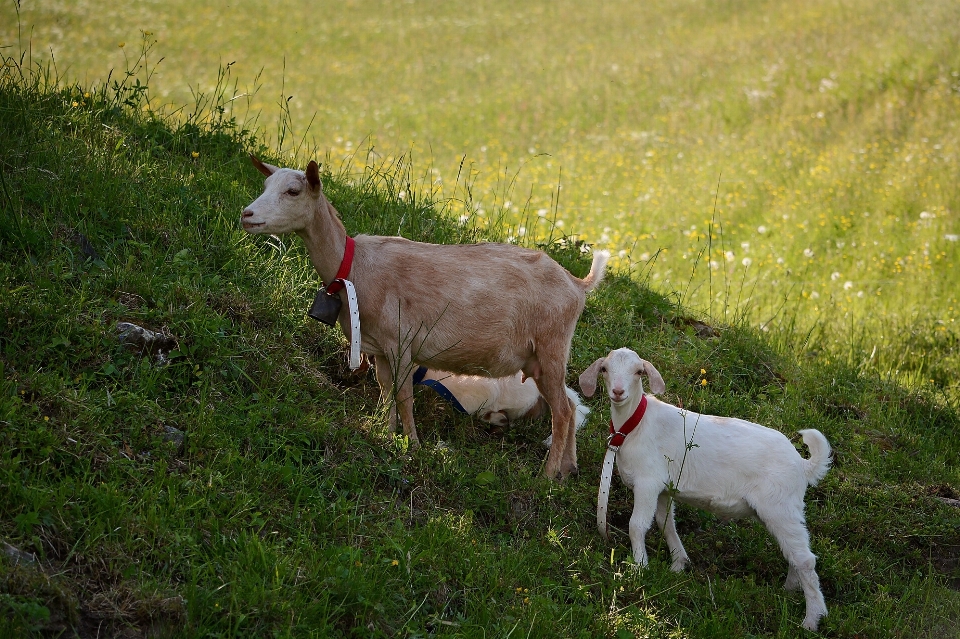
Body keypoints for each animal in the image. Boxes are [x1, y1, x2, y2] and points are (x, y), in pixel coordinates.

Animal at [240, 158, 608, 480]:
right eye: (266, 185)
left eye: (293, 191)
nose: (247, 214)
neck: (354, 267)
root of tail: (577, 284)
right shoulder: (378, 347)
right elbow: (385, 390)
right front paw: (385, 432)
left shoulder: (401, 341)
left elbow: (404, 396)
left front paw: (412, 446)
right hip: (540, 359)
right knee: (569, 407)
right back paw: (567, 469)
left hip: (551, 347)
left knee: (562, 412)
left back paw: (546, 476)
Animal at [576, 350, 832, 636]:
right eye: (605, 369)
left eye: (638, 371)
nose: (618, 392)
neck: (634, 425)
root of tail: (803, 464)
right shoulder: (664, 488)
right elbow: (666, 523)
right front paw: (678, 564)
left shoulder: (648, 482)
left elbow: (637, 525)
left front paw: (639, 568)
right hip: (782, 510)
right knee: (793, 551)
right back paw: (789, 590)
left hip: (781, 505)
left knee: (806, 559)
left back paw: (812, 619)